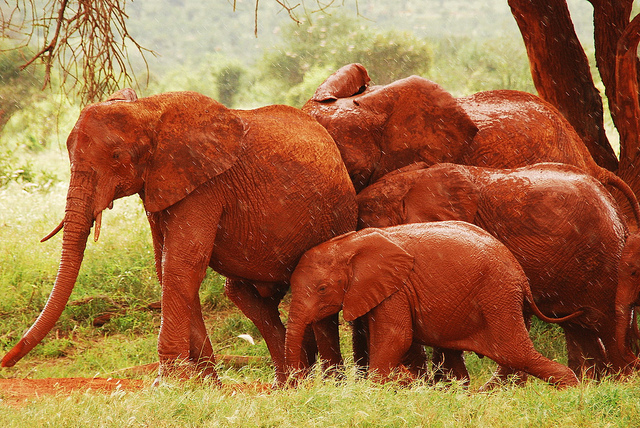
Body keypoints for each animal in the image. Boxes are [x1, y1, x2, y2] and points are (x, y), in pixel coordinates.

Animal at [0, 88, 358, 382]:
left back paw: (326, 383)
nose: (6, 363)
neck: (147, 109)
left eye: (116, 157)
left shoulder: (205, 184)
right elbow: (168, 268)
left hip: (336, 213)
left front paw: (168, 383)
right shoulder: (160, 185)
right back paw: (290, 383)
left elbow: (181, 265)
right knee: (246, 296)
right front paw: (205, 385)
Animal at [284, 222, 580, 390]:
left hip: (498, 295)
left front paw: (375, 389)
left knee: (513, 352)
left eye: (322, 289)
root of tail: (520, 273)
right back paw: (478, 393)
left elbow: (395, 337)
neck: (348, 244)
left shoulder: (396, 289)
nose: (296, 386)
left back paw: (570, 389)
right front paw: (406, 382)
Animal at [358, 161, 636, 382]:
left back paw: (621, 381)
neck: (412, 179)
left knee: (605, 323)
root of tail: (614, 206)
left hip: (602, 259)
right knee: (578, 325)